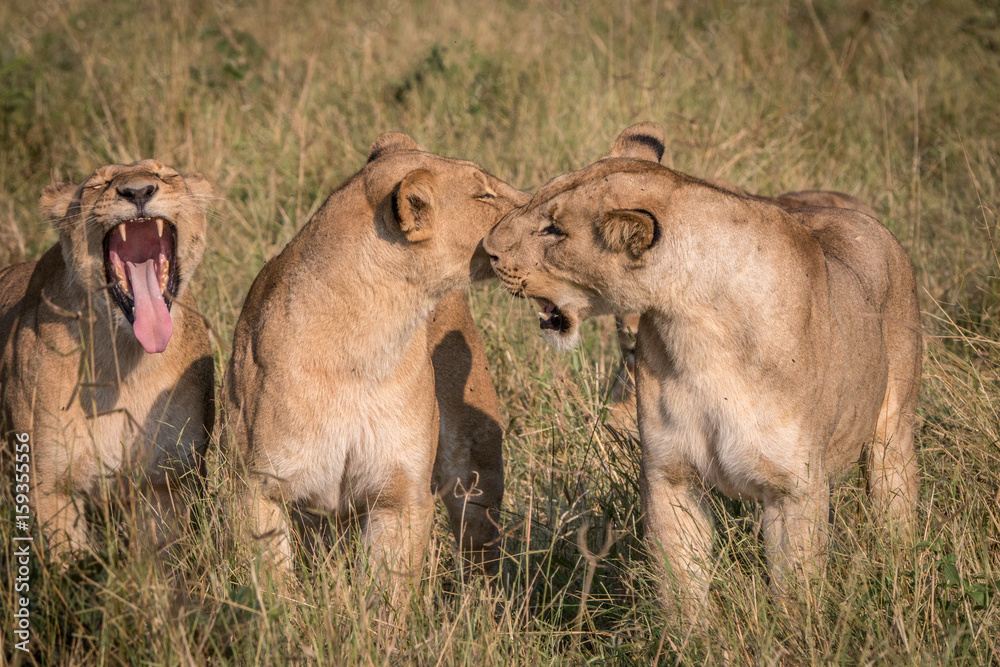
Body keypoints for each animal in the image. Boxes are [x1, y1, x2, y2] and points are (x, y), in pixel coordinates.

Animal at [0, 160, 215, 559]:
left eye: (166, 175)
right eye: (98, 183)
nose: (139, 192)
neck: (125, 361)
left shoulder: (166, 482)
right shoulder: (49, 485)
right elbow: (70, 565)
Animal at [222, 132, 527, 599]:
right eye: (484, 195)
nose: (540, 203)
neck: (366, 344)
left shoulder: (400, 494)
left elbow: (390, 590)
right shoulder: (259, 486)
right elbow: (271, 582)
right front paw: (280, 616)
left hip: (477, 467)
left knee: (480, 541)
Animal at [484, 123, 921, 616]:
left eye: (554, 230)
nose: (487, 249)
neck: (698, 328)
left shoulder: (795, 489)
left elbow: (796, 588)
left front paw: (797, 630)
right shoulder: (670, 473)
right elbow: (681, 585)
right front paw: (689, 633)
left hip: (892, 432)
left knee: (895, 502)